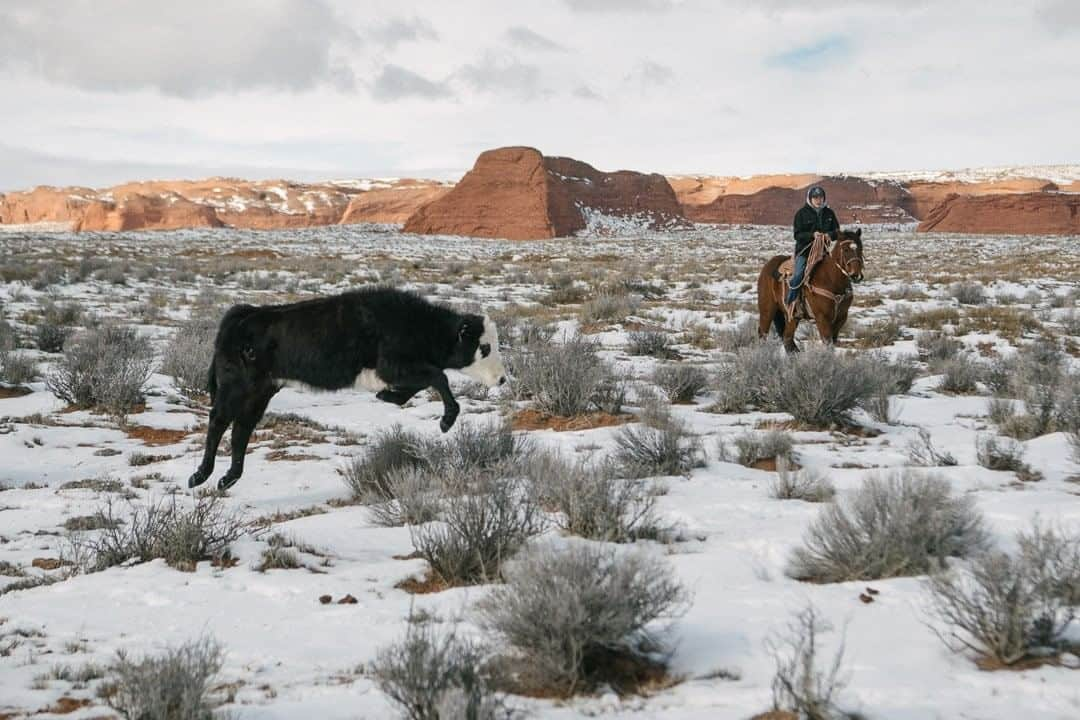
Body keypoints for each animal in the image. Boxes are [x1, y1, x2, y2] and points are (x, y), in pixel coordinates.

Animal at [186, 284, 505, 490]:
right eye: (485, 347)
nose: (502, 379)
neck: (415, 323)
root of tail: (243, 315)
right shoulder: (394, 364)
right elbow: (439, 377)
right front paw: (446, 421)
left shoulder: (397, 370)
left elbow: (419, 385)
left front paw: (387, 396)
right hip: (236, 387)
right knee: (218, 422)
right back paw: (200, 475)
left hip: (260, 392)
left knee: (241, 430)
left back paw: (227, 478)